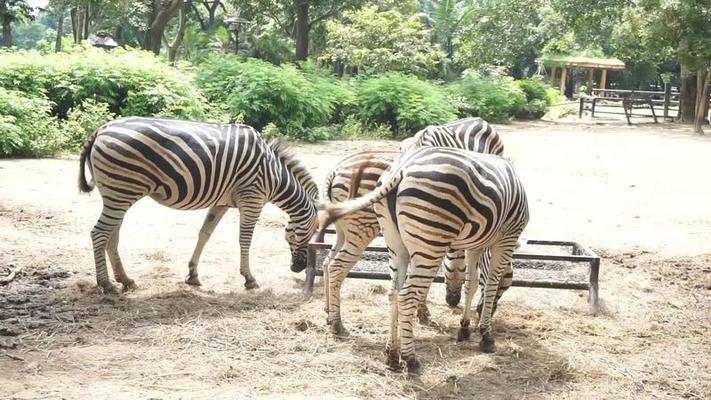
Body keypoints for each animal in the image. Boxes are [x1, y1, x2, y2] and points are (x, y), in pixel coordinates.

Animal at [77, 115, 318, 294]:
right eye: (313, 231)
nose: (297, 268)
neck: (274, 174)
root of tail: (101, 129)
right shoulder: (252, 198)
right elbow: (245, 240)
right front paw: (249, 278)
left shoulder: (221, 202)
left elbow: (205, 234)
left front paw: (193, 275)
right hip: (121, 191)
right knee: (99, 234)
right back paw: (106, 284)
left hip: (118, 195)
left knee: (111, 236)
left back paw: (125, 280)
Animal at [318, 118, 512, 338]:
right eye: (504, 282)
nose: (453, 302)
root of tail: (335, 170)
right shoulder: (434, 231)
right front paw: (422, 312)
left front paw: (419, 311)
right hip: (362, 227)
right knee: (336, 267)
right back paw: (337, 324)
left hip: (343, 228)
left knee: (327, 262)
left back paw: (328, 313)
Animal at [322, 146, 528, 372]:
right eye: (507, 285)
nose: (483, 313)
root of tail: (401, 167)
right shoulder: (507, 238)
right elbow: (489, 284)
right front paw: (485, 335)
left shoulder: (475, 245)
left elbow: (471, 284)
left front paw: (464, 328)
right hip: (403, 235)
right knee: (396, 292)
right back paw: (407, 358)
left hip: (391, 241)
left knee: (384, 289)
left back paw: (390, 354)